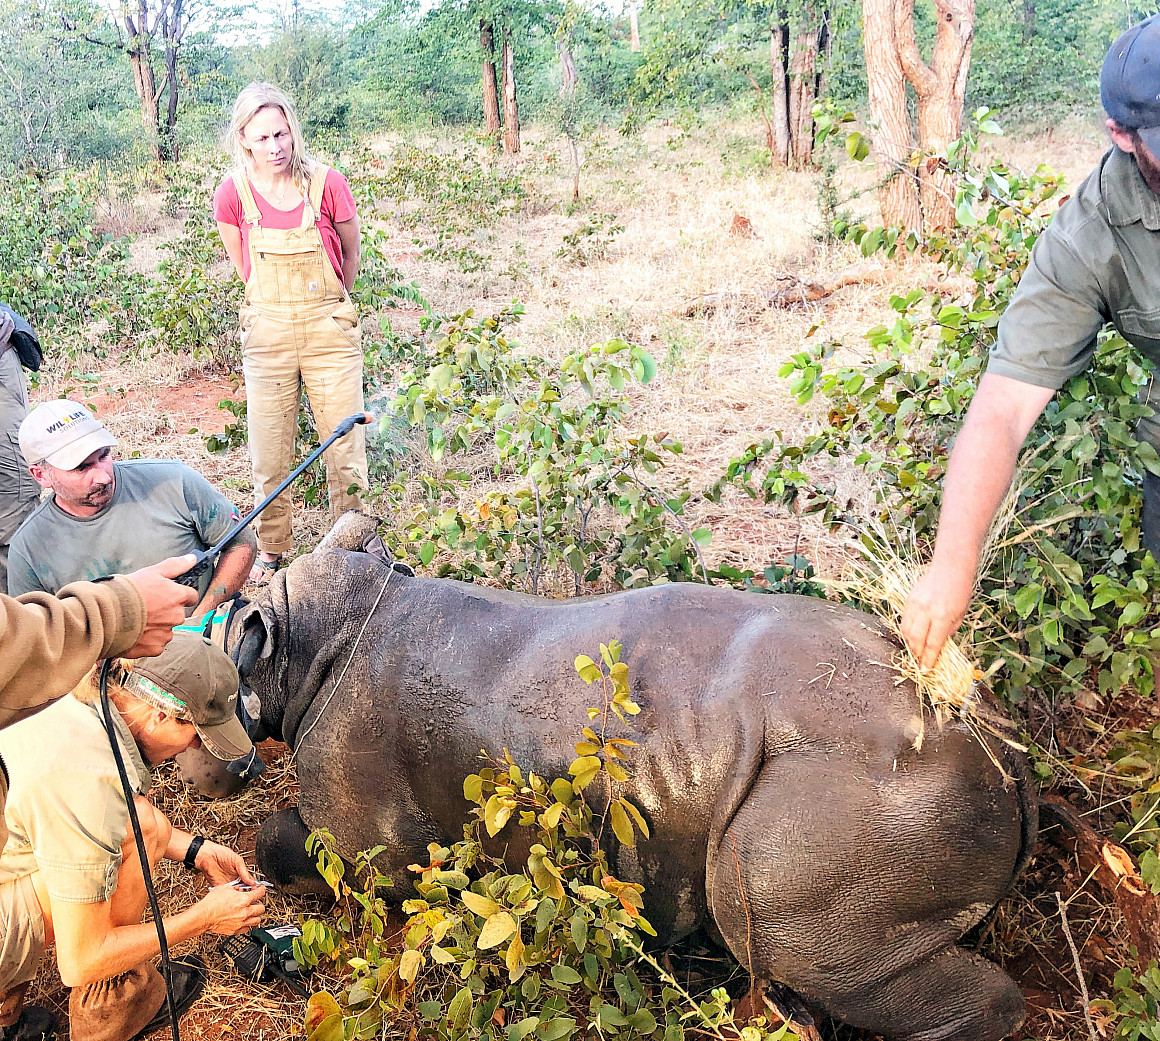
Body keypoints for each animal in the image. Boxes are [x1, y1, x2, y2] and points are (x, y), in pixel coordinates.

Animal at [227, 513, 1035, 1041]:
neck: (311, 634)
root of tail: (996, 738)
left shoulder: (372, 848)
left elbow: (290, 846)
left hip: (880, 792)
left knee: (780, 922)